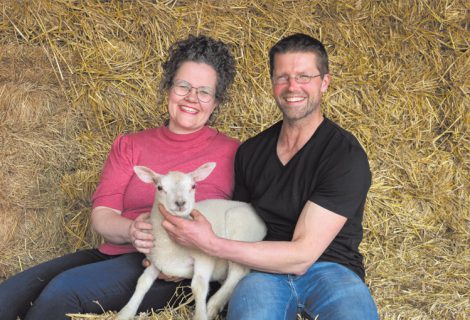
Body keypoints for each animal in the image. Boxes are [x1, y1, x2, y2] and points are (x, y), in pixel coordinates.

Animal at [116, 162, 266, 320]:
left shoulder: (205, 257)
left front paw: (201, 315)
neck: (170, 246)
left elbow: (199, 286)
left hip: (240, 229)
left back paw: (213, 305)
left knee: (238, 272)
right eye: (160, 187)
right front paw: (125, 312)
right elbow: (142, 282)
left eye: (193, 186)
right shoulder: (155, 261)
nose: (180, 202)